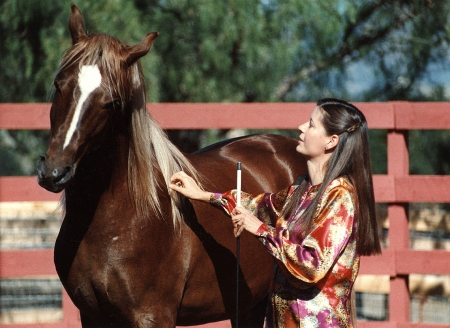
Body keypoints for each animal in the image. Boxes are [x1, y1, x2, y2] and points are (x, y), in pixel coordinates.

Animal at [37, 3, 308, 326]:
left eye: (112, 103)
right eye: (58, 85)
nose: (54, 172)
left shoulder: (153, 315)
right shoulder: (91, 315)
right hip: (249, 306)